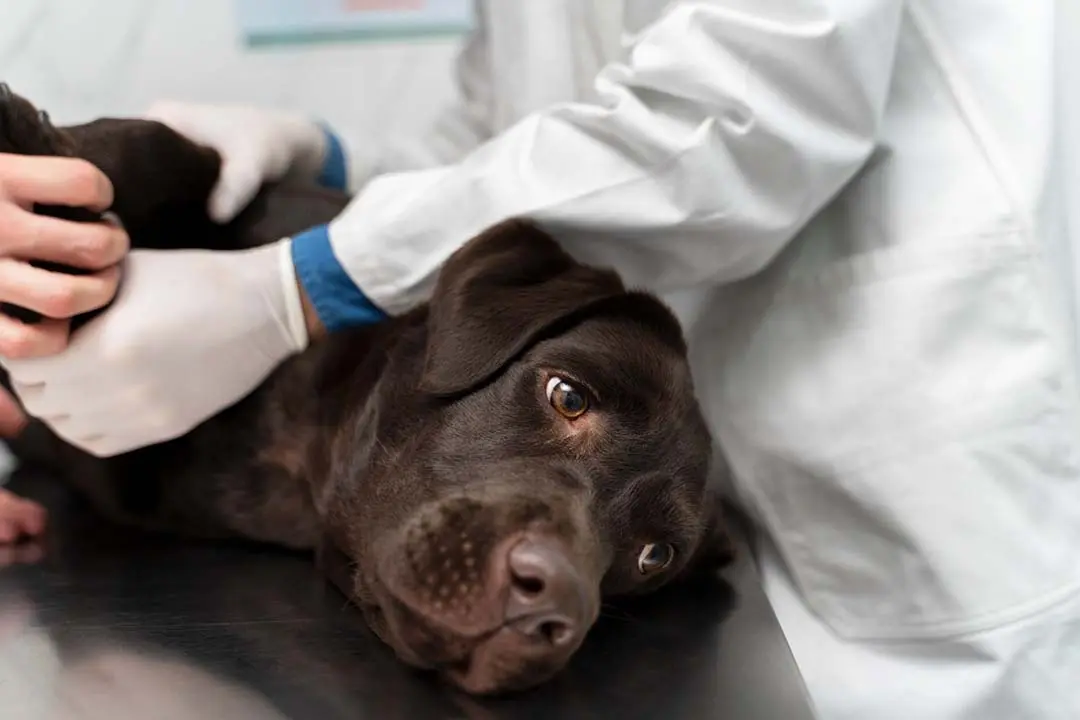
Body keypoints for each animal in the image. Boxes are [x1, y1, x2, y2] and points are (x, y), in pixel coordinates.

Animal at [0, 85, 734, 699]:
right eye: (569, 396)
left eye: (654, 557)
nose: (550, 608)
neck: (299, 447)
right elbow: (169, 151)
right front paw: (25, 138)